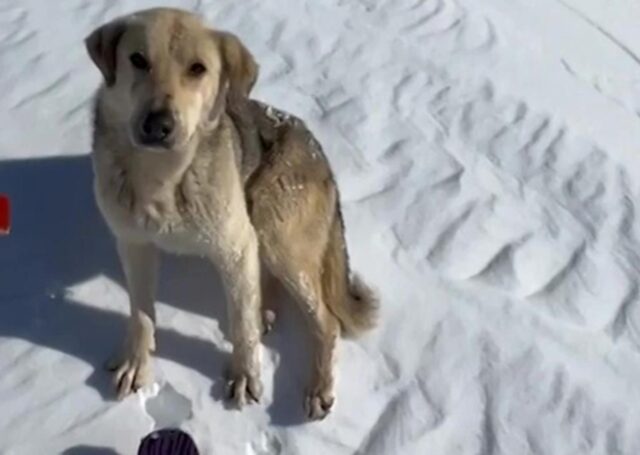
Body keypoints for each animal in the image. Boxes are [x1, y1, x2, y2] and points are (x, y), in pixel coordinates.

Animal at [84, 7, 376, 420]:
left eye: (197, 69)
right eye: (138, 60)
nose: (158, 125)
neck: (163, 178)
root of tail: (321, 156)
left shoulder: (233, 246)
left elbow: (240, 325)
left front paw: (244, 377)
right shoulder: (133, 242)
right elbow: (140, 313)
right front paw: (136, 365)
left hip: (271, 221)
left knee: (326, 321)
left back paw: (318, 385)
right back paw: (265, 310)